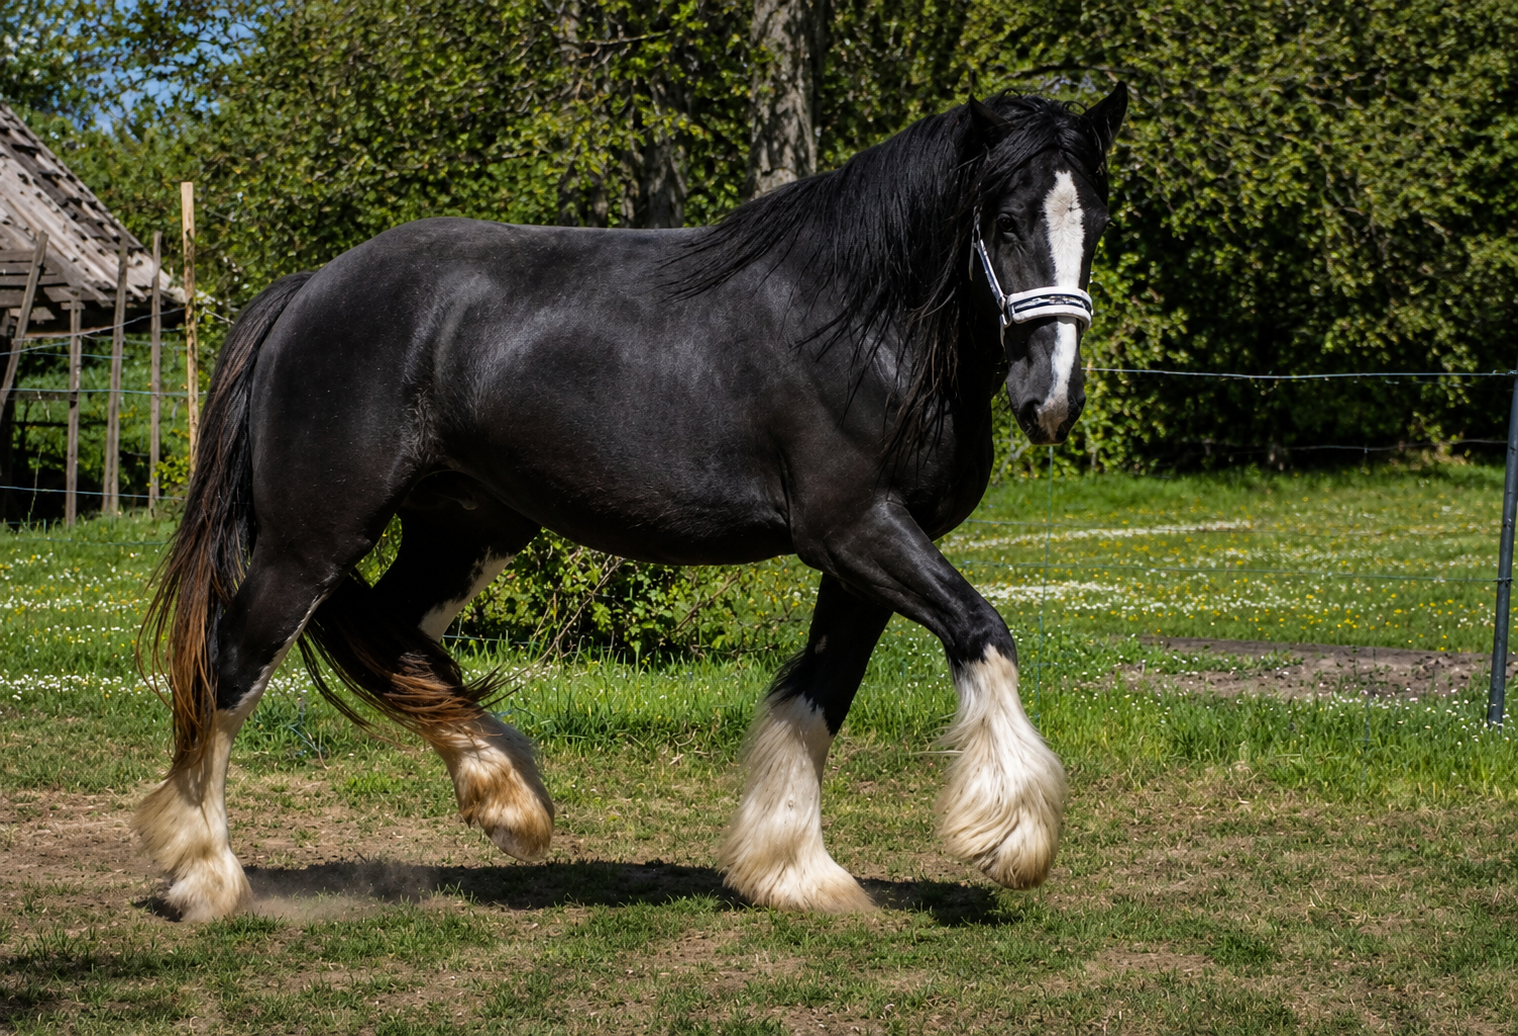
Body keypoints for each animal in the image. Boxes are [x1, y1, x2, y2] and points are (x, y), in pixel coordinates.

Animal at [134, 84, 1128, 921]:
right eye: (1004, 221)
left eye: (1099, 224)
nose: (1050, 399)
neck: (859, 328)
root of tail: (312, 289)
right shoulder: (857, 531)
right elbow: (983, 631)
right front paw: (1010, 835)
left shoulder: (858, 562)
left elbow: (819, 694)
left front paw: (795, 873)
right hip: (312, 540)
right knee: (232, 664)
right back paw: (205, 878)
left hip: (464, 530)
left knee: (390, 637)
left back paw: (509, 801)